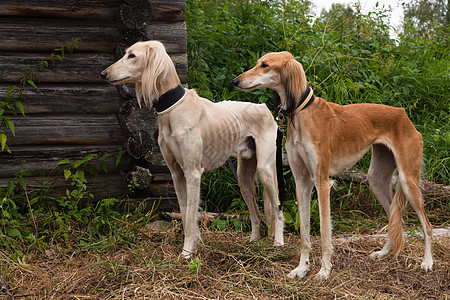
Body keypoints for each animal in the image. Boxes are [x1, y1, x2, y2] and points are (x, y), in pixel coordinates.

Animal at [102, 41, 284, 258]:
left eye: (132, 56)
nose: (103, 73)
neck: (173, 109)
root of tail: (265, 107)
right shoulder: (176, 173)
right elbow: (184, 212)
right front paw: (194, 244)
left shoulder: (193, 173)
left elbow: (190, 214)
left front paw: (187, 252)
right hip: (243, 178)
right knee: (256, 215)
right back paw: (253, 242)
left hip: (266, 170)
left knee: (278, 210)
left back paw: (279, 243)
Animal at [232, 51, 432, 278]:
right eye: (258, 63)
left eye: (264, 65)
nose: (235, 81)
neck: (302, 113)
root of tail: (403, 115)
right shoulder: (302, 182)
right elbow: (304, 232)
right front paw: (301, 268)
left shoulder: (322, 182)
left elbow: (324, 231)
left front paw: (324, 270)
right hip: (376, 179)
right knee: (394, 219)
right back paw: (383, 253)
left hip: (408, 179)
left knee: (426, 225)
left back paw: (427, 262)